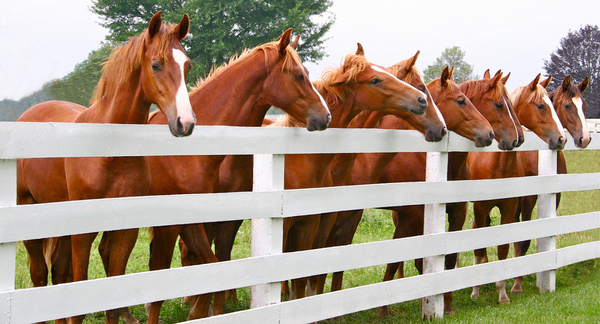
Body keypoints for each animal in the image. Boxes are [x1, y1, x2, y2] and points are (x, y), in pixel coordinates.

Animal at [16, 11, 193, 322]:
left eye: (187, 65)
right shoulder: (82, 231)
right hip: (30, 210)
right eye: (156, 65)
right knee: (39, 274)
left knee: (58, 271)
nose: (185, 123)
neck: (109, 153)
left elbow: (113, 291)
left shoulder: (124, 230)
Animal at [142, 29, 330, 322]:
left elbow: (219, 261)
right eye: (299, 75)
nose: (325, 117)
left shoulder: (218, 218)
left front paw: (206, 310)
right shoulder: (174, 222)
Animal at [468, 73, 568, 304]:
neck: (499, 166)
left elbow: (506, 246)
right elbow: (480, 245)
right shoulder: (481, 206)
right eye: (541, 105)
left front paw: (503, 292)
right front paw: (476, 291)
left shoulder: (511, 206)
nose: (561, 138)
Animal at [510, 75, 592, 294]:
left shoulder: (554, 196)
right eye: (567, 106)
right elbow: (522, 240)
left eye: (585, 106)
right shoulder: (527, 198)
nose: (585, 138)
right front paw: (517, 285)